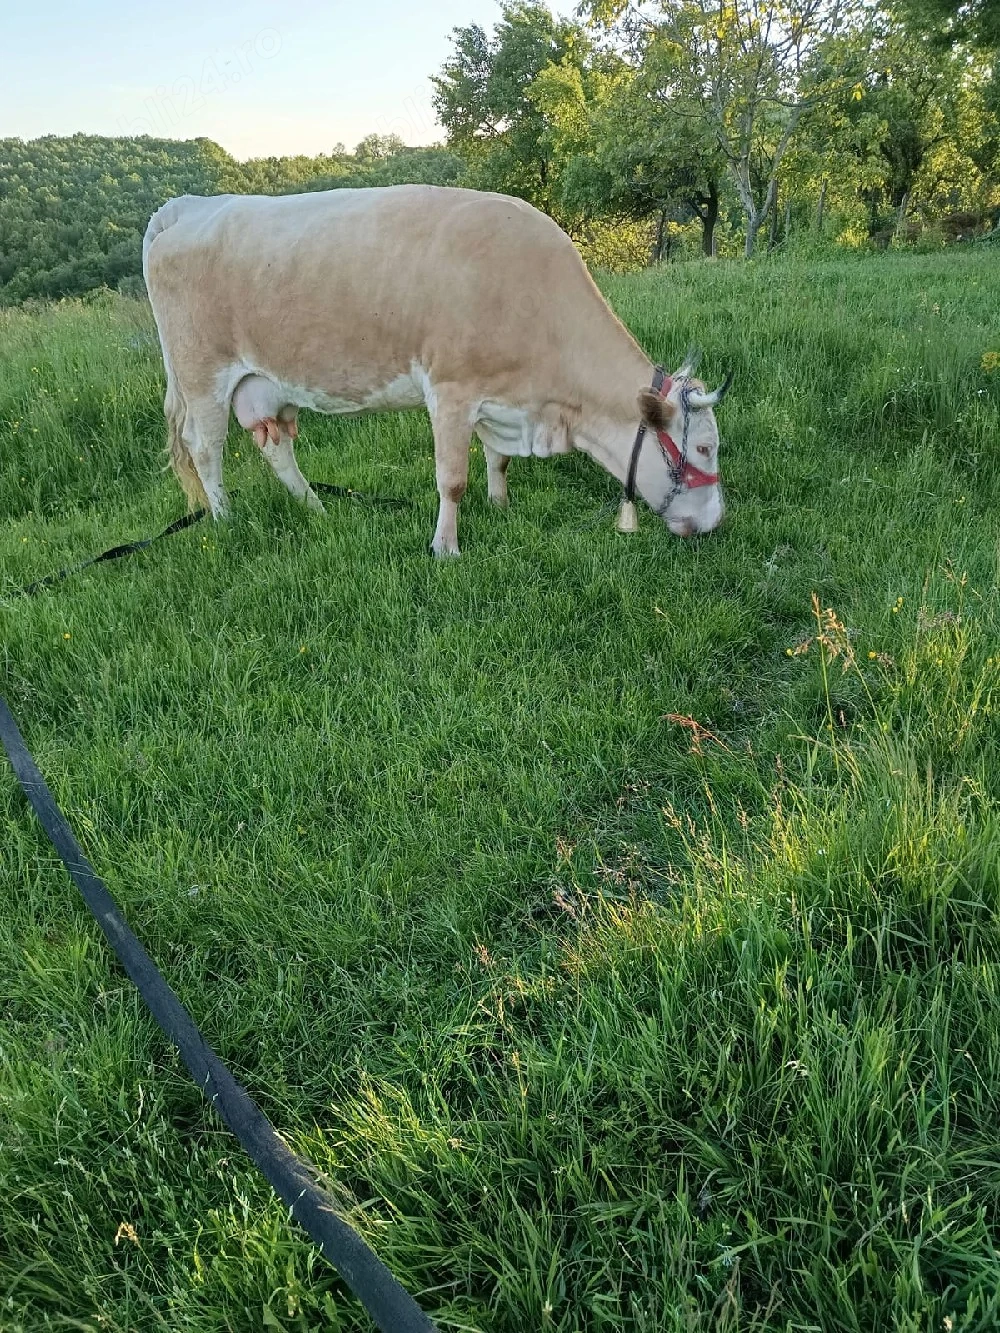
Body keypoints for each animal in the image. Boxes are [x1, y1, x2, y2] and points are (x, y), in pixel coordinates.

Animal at [142, 185, 730, 556]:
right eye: (704, 447)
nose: (715, 523)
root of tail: (192, 206)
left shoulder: (499, 398)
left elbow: (496, 460)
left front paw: (500, 505)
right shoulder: (451, 390)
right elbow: (452, 479)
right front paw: (445, 547)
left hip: (266, 386)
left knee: (276, 447)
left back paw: (316, 509)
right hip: (201, 375)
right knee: (205, 449)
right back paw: (225, 519)